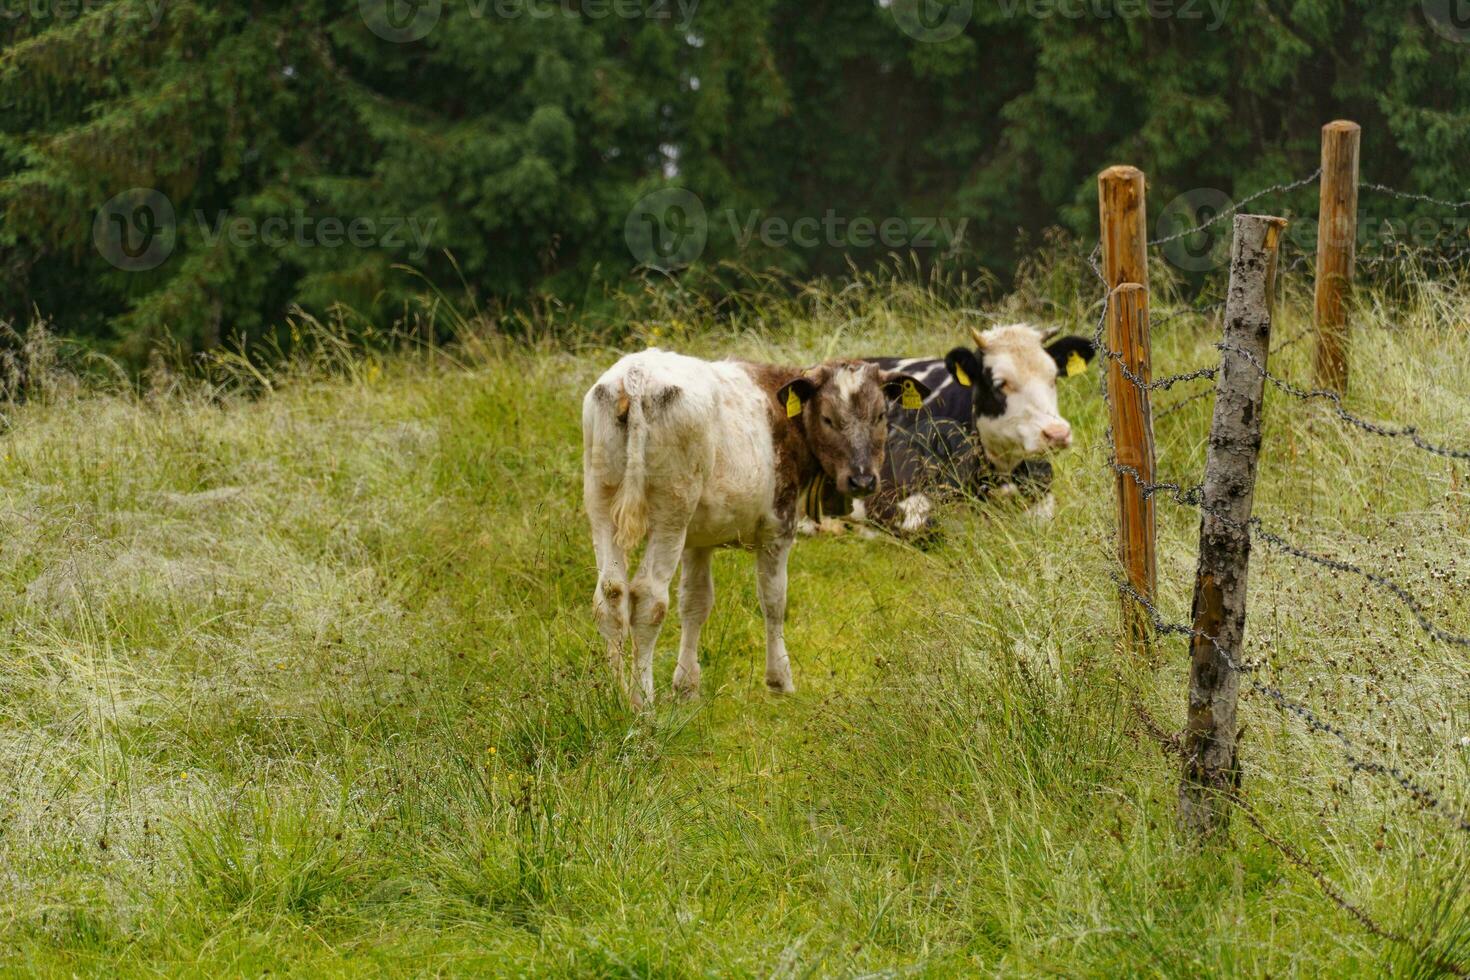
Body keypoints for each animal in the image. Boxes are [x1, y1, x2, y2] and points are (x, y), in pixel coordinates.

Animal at [579, 348, 923, 708]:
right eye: (828, 419)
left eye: (880, 416)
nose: (863, 479)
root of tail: (636, 375)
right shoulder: (778, 527)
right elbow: (773, 600)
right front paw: (779, 679)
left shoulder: (697, 540)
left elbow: (695, 602)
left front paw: (686, 686)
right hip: (671, 512)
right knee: (649, 598)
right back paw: (642, 703)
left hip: (601, 501)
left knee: (610, 594)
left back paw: (614, 694)